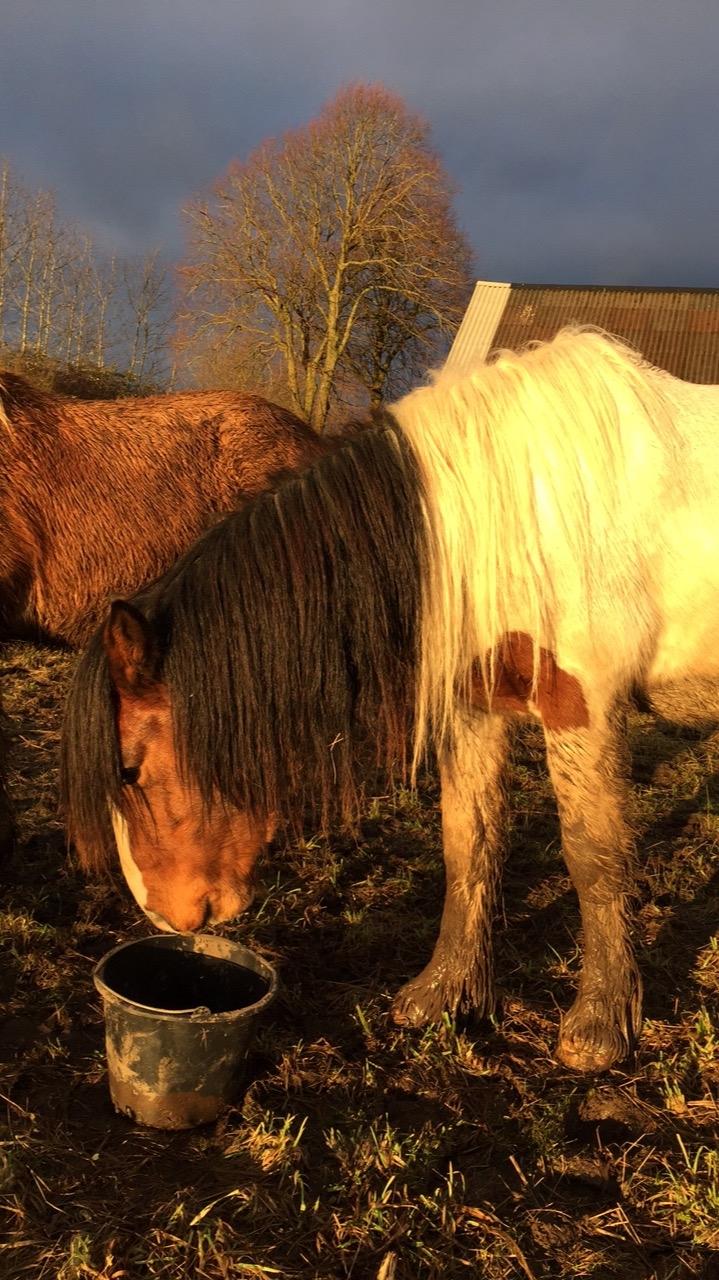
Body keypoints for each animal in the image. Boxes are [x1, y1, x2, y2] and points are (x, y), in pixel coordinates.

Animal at [60, 330, 716, 1070]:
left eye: (130, 770)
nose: (164, 914)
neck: (514, 509)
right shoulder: (475, 708)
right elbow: (468, 842)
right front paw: (444, 995)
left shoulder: (581, 707)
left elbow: (593, 857)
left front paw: (598, 1030)